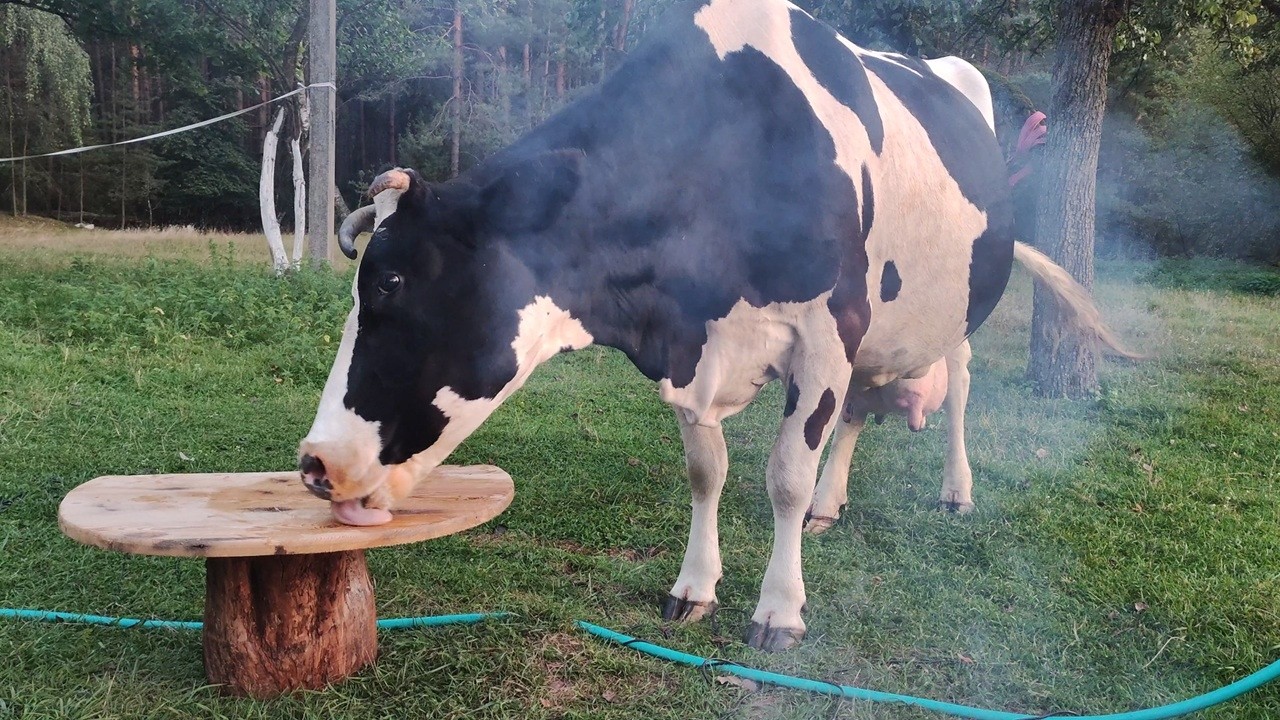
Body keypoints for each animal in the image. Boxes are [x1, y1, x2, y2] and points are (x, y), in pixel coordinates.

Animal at [296, 0, 1125, 651]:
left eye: (391, 282)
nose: (314, 464)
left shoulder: (826, 330)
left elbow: (785, 474)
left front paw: (780, 612)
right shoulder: (694, 347)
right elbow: (708, 470)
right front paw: (694, 588)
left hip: (949, 316)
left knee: (958, 390)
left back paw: (956, 491)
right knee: (859, 410)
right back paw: (832, 506)